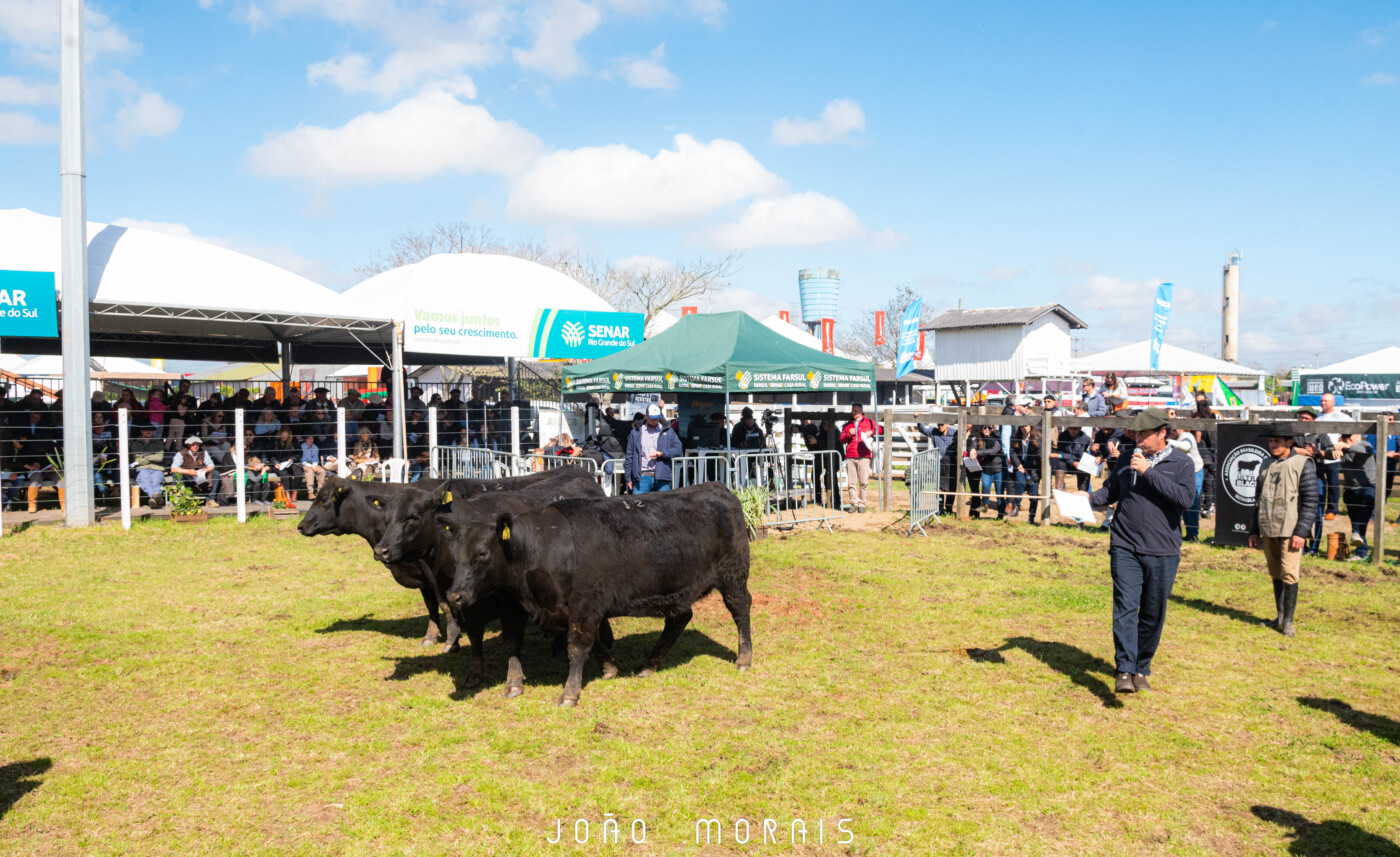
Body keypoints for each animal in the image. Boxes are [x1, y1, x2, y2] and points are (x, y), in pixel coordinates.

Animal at [301, 467, 596, 649]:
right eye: (387, 517)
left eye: (324, 498)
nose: (301, 526)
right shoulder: (425, 573)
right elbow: (432, 605)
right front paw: (432, 636)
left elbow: (443, 604)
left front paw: (452, 638)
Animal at [375, 467, 616, 697]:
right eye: (385, 518)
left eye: (413, 517)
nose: (381, 550)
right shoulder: (463, 603)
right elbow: (475, 637)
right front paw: (474, 674)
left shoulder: (513, 605)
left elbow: (511, 642)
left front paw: (514, 682)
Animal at [448, 481, 756, 708]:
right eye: (454, 554)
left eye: (482, 554)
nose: (454, 596)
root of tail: (717, 488)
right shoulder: (551, 609)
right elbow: (579, 642)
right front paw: (609, 669)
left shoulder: (584, 605)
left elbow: (576, 646)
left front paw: (569, 693)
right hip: (675, 591)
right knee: (679, 619)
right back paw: (649, 664)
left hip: (733, 577)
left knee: (740, 609)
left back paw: (744, 658)